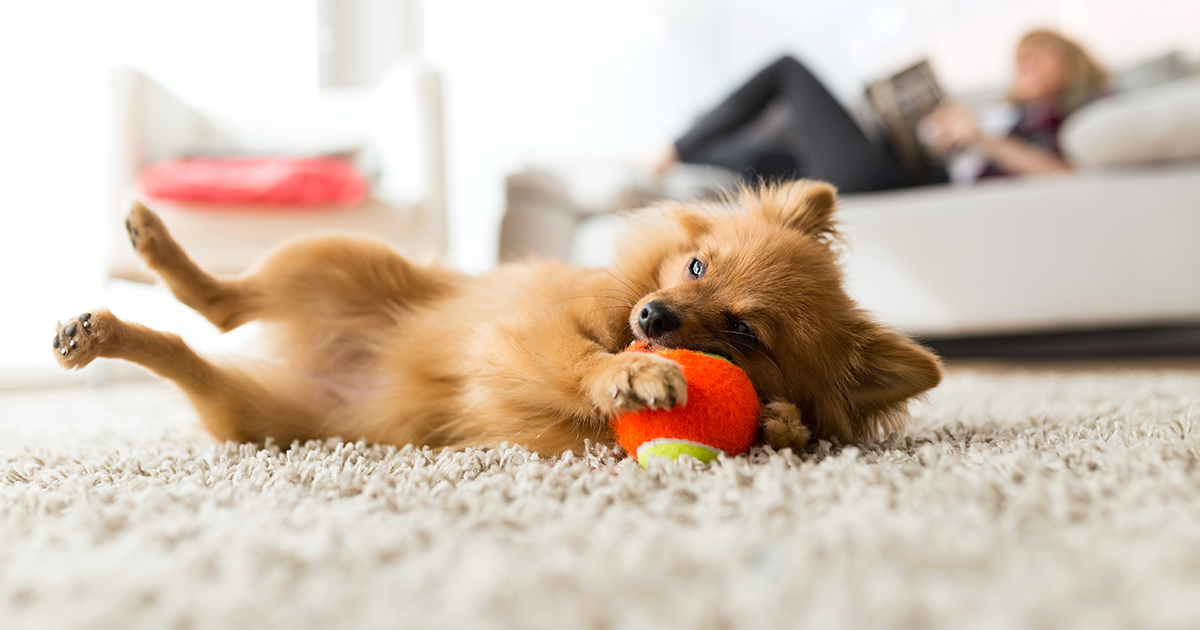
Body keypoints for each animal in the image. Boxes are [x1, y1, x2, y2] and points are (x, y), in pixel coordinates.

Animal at [54, 180, 936, 451]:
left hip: (261, 417)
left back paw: (100, 334)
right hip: (338, 256)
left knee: (194, 347)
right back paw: (146, 250)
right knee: (220, 300)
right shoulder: (529, 333)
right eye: (695, 268)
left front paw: (780, 423)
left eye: (743, 331)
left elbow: (787, 426)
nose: (653, 317)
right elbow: (584, 361)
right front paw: (631, 373)